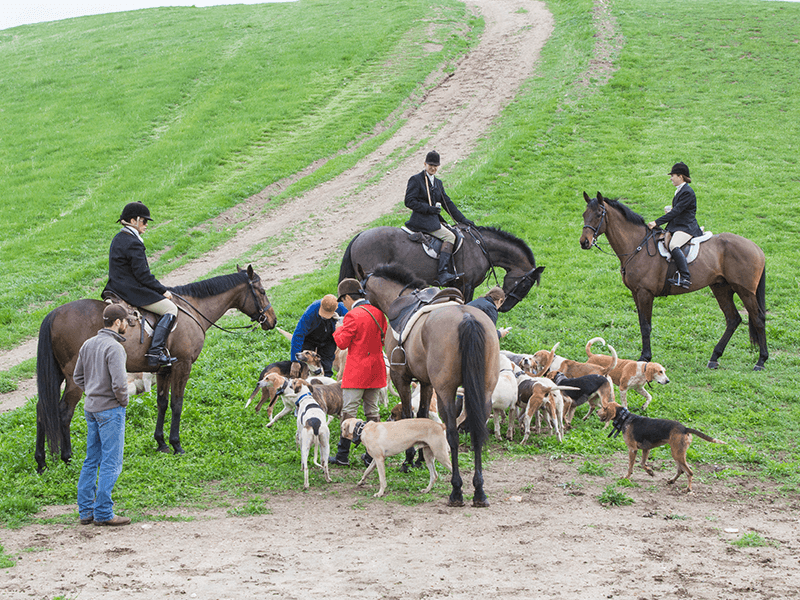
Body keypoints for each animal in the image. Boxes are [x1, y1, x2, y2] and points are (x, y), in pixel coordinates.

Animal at [35, 265, 277, 473]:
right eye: (262, 291)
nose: (272, 320)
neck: (192, 310)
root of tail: (53, 315)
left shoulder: (163, 370)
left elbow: (162, 403)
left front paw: (161, 443)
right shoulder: (182, 366)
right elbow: (177, 403)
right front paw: (176, 445)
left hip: (58, 376)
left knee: (42, 410)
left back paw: (41, 463)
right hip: (75, 379)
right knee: (64, 412)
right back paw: (67, 458)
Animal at [340, 225, 544, 308]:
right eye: (525, 285)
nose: (505, 308)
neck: (480, 247)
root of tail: (360, 236)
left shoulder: (455, 285)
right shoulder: (467, 285)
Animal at [359, 264, 499, 507]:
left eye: (363, 290)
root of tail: (467, 317)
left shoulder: (401, 377)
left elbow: (408, 415)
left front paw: (409, 459)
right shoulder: (426, 382)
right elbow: (422, 414)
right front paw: (421, 457)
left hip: (446, 391)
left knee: (452, 434)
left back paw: (456, 491)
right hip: (484, 391)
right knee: (477, 433)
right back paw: (479, 492)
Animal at [580, 192, 767, 371]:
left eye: (598, 214)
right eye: (584, 214)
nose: (584, 242)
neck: (637, 246)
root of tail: (756, 248)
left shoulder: (645, 293)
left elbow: (646, 326)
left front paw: (645, 357)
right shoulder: (636, 292)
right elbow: (642, 323)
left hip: (745, 291)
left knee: (758, 319)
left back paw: (761, 361)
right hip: (721, 287)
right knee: (733, 319)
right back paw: (714, 358)